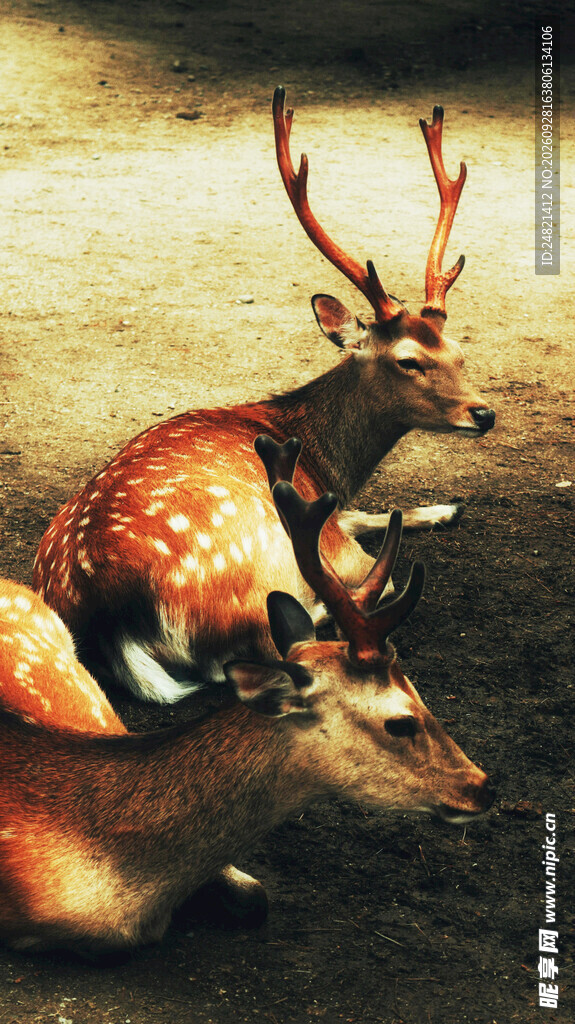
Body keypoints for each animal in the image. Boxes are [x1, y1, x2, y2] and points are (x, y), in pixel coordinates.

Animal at [32, 88, 495, 704]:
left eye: (459, 350)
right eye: (408, 360)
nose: (484, 413)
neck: (323, 461)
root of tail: (109, 622)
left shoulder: (332, 509)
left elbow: (367, 513)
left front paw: (446, 508)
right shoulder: (326, 534)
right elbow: (375, 557)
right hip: (253, 582)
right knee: (257, 647)